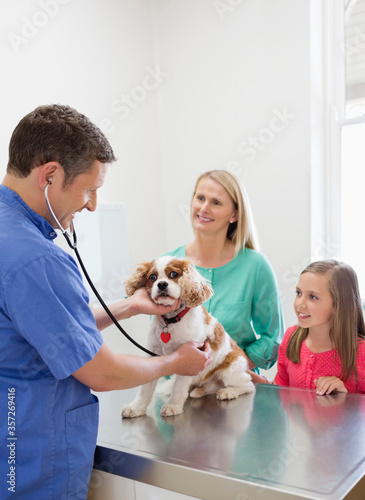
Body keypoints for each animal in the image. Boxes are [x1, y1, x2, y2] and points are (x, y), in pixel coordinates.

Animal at [121, 256, 255, 416]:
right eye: (152, 277)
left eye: (174, 274)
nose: (161, 284)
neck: (171, 320)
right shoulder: (154, 353)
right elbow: (145, 388)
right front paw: (136, 407)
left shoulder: (191, 357)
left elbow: (179, 387)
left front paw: (173, 405)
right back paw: (199, 390)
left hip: (231, 370)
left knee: (249, 385)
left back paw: (228, 392)